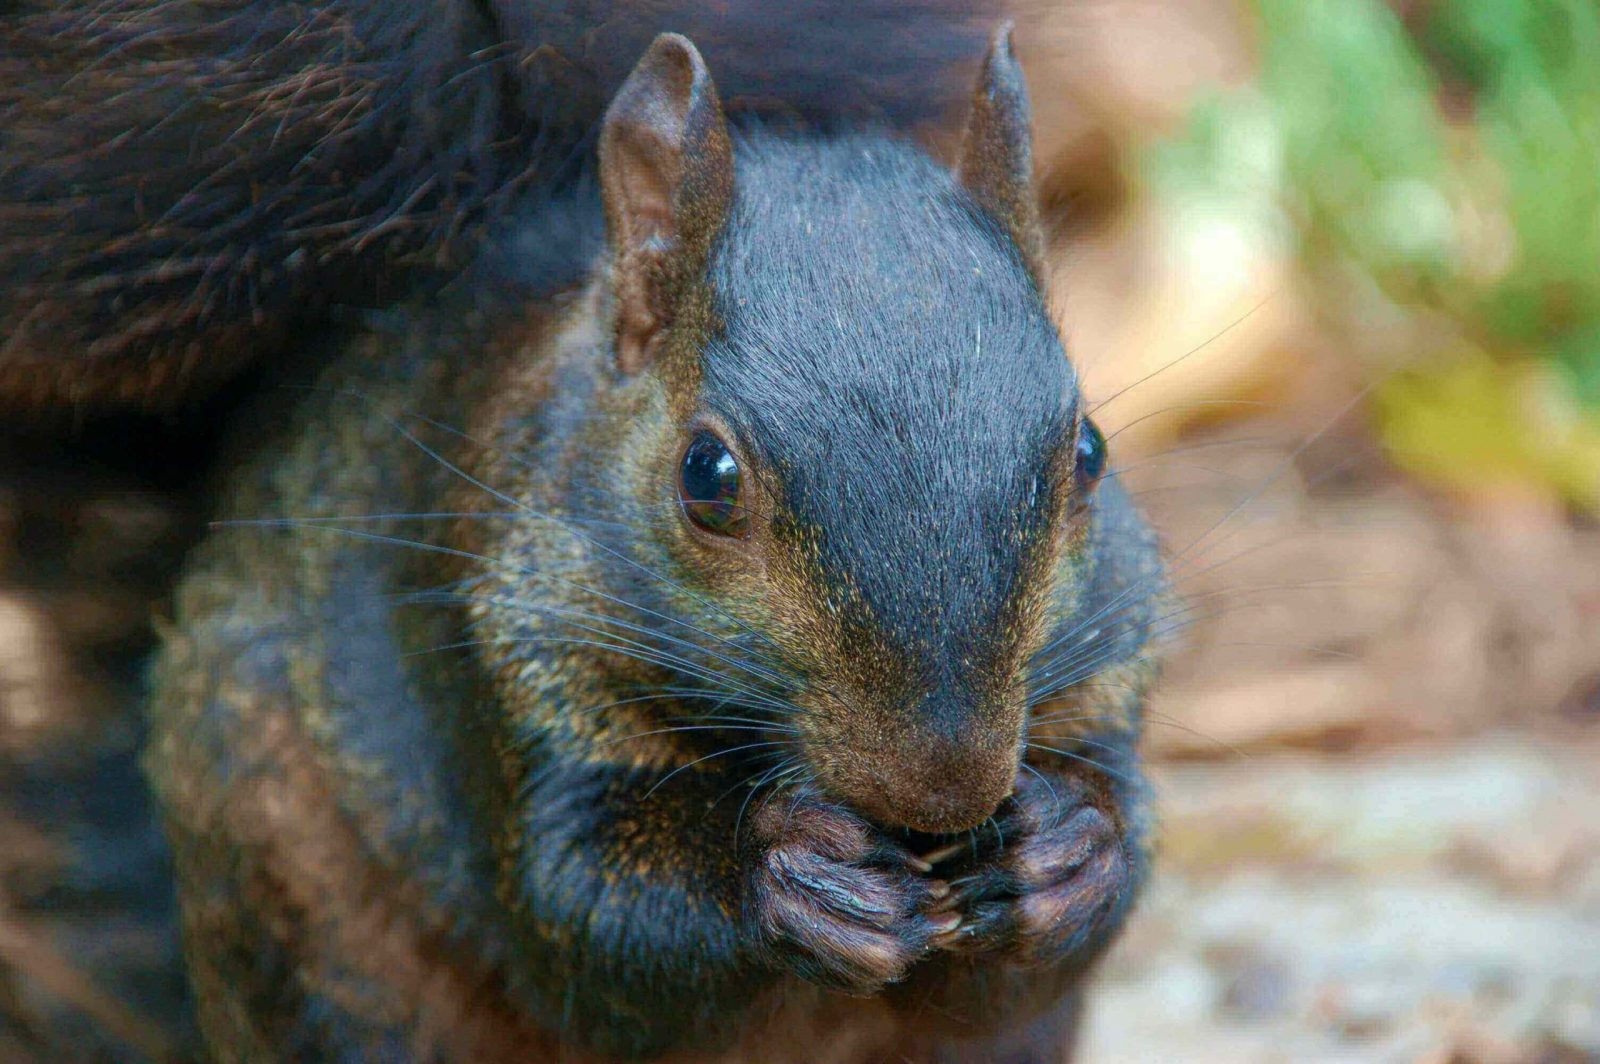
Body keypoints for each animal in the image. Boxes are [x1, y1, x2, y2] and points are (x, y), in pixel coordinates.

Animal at [0, 4, 1158, 1056]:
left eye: (1090, 451)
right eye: (706, 476)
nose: (945, 789)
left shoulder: (1109, 654)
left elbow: (1040, 946)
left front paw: (1064, 852)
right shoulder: (490, 647)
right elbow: (583, 919)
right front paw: (782, 868)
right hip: (288, 887)